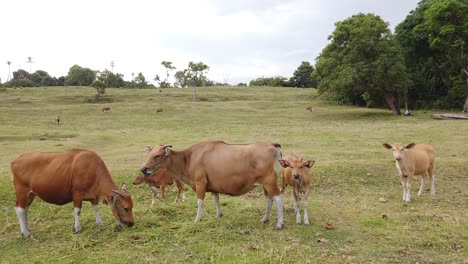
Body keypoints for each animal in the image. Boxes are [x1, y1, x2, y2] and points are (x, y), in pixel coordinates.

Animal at [139, 140, 286, 229]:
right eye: (149, 155)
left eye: (157, 156)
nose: (144, 169)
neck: (189, 158)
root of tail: (272, 145)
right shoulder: (213, 184)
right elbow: (216, 198)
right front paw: (219, 214)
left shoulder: (200, 182)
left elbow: (200, 202)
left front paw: (197, 218)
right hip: (265, 184)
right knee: (269, 199)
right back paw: (265, 219)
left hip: (269, 182)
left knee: (278, 199)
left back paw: (279, 224)